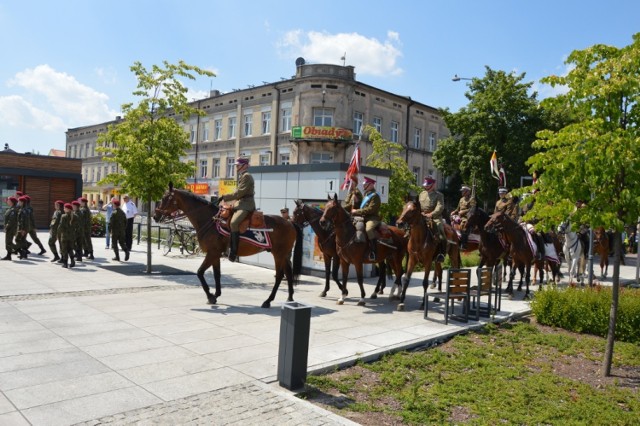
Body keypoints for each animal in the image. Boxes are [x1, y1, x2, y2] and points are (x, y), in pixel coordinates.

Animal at [156, 185, 304, 308]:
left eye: (165, 198)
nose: (155, 216)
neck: (210, 220)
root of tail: (290, 223)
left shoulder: (212, 253)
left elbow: (200, 272)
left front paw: (210, 296)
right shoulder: (215, 255)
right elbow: (217, 274)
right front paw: (216, 295)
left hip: (278, 254)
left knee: (279, 275)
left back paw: (268, 301)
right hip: (284, 254)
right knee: (288, 273)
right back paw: (290, 298)